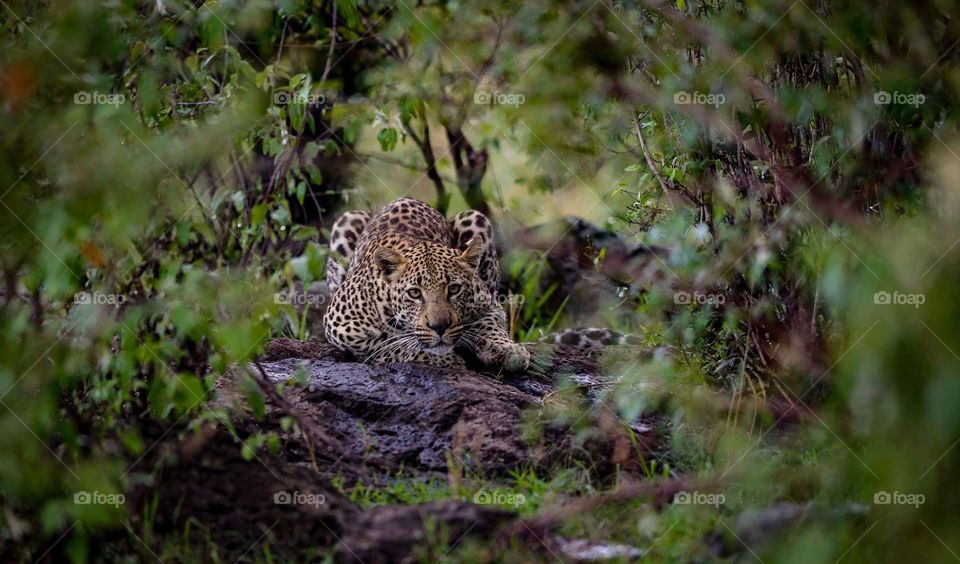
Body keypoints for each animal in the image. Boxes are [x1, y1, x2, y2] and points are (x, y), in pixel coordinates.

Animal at [322, 197, 530, 372]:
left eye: (454, 289)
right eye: (414, 293)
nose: (439, 327)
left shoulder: (488, 305)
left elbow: (491, 326)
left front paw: (510, 351)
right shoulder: (341, 324)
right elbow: (387, 344)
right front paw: (447, 359)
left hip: (475, 218)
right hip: (347, 220)